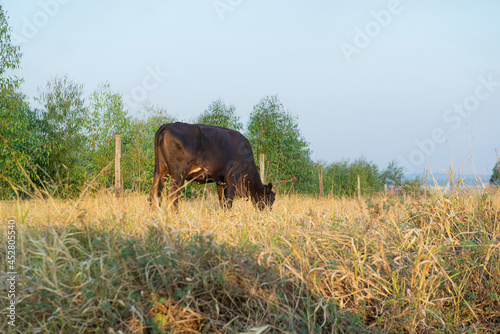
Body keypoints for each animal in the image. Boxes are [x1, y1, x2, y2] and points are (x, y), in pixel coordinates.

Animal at [148, 122, 276, 210]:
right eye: (271, 199)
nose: (268, 213)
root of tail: (169, 125)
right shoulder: (233, 175)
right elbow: (228, 200)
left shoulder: (220, 180)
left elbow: (222, 200)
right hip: (179, 172)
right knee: (173, 195)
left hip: (161, 170)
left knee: (154, 193)